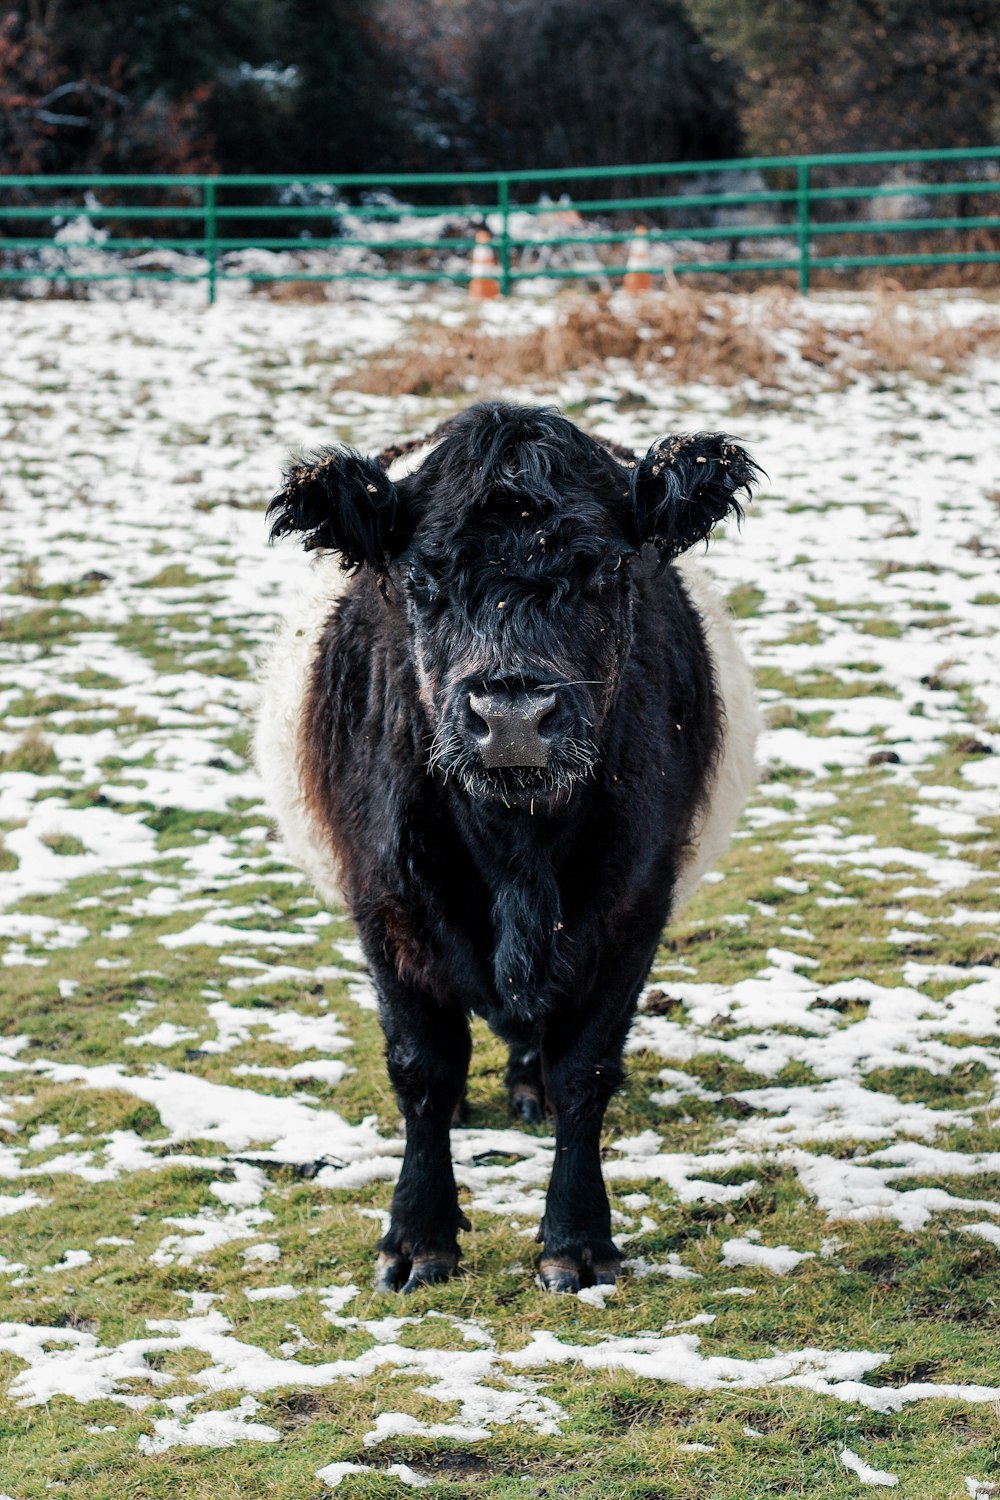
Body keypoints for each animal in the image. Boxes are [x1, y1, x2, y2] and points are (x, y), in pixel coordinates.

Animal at [256, 405, 758, 1296]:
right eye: (419, 581)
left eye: (606, 571)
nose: (514, 718)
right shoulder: (383, 903)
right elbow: (421, 1066)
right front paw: (417, 1237)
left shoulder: (635, 906)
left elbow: (586, 1067)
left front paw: (577, 1240)